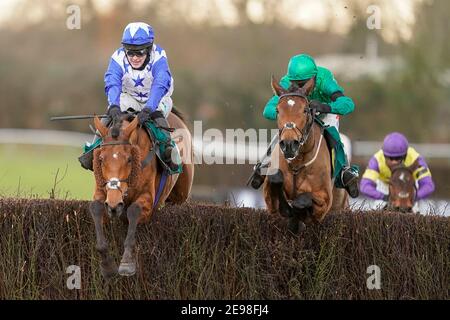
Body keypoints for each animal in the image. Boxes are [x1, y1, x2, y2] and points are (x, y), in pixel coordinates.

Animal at [91, 108, 193, 278]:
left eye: (129, 159)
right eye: (101, 159)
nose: (114, 205)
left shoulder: (148, 201)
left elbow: (133, 211)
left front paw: (126, 263)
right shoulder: (101, 191)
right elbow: (96, 209)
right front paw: (107, 265)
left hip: (181, 195)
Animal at [264, 76, 348, 234]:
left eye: (305, 110)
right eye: (277, 110)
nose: (289, 144)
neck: (297, 162)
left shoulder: (324, 202)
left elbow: (302, 200)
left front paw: (296, 216)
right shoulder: (269, 201)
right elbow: (275, 179)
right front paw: (288, 212)